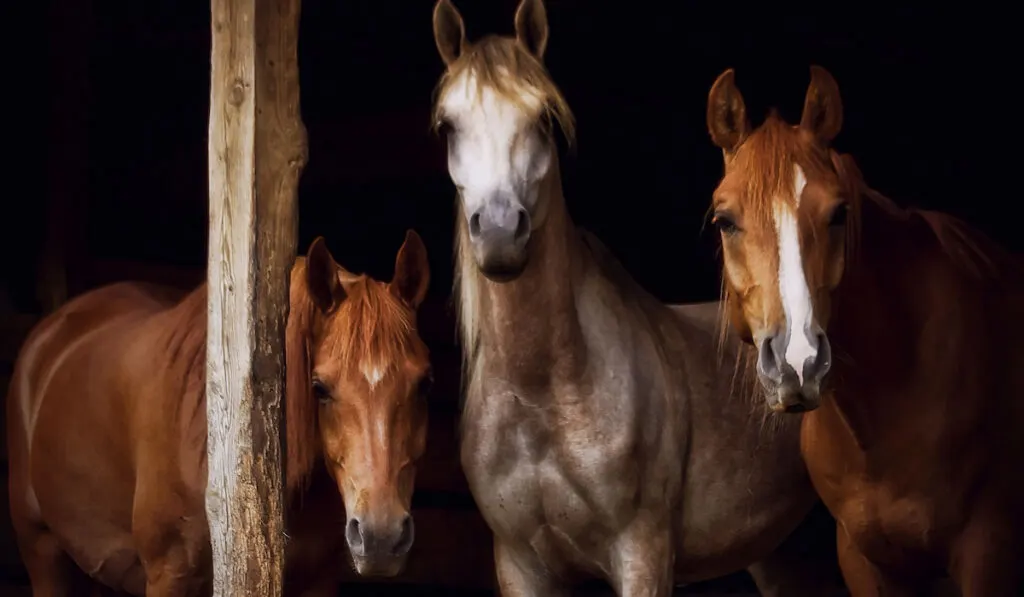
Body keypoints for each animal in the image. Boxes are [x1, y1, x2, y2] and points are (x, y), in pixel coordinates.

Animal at [434, 1, 847, 597]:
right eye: (448, 125)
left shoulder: (643, 552)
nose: (498, 233)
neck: (542, 391)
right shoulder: (520, 564)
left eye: (544, 119)